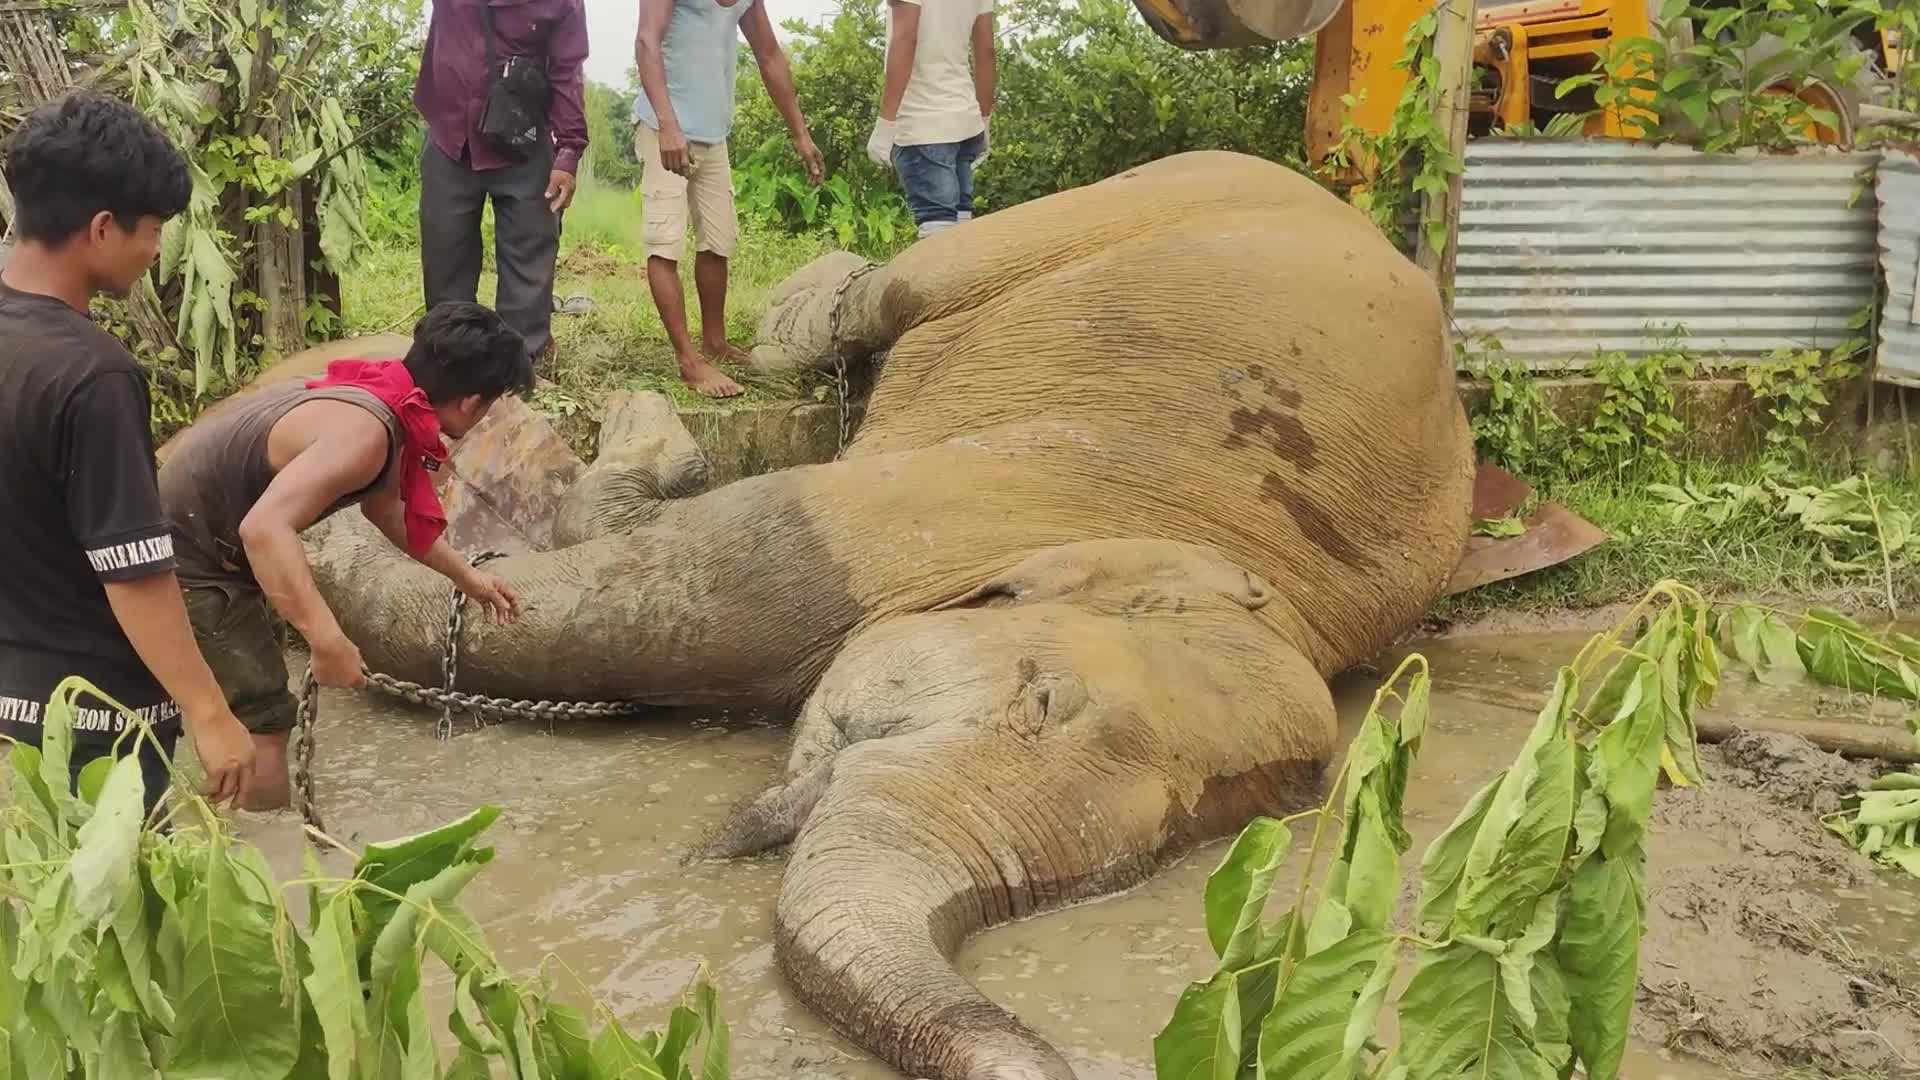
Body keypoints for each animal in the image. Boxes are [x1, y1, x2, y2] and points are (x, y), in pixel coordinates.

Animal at [296, 150, 1474, 1079]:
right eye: (1043, 702)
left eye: (1140, 864)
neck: (1256, 584)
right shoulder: (949, 506)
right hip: (1143, 198)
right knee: (909, 280)